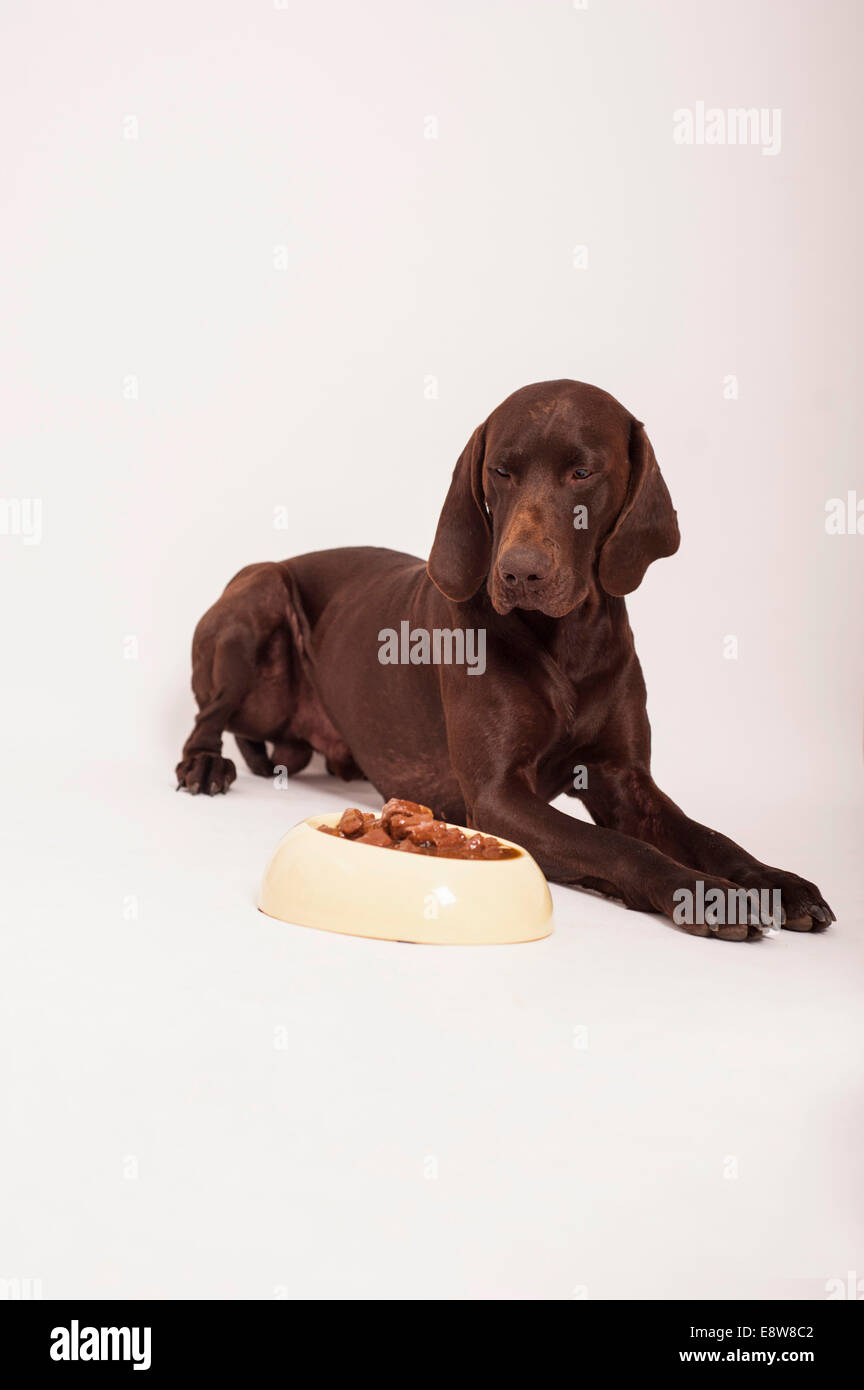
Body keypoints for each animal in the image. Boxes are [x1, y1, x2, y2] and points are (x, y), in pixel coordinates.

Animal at [176, 380, 833, 939]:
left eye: (583, 471)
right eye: (501, 471)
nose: (520, 572)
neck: (567, 643)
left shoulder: (624, 778)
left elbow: (709, 835)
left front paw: (776, 881)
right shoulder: (497, 798)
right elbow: (618, 847)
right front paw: (695, 891)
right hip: (259, 594)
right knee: (208, 716)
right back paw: (205, 765)